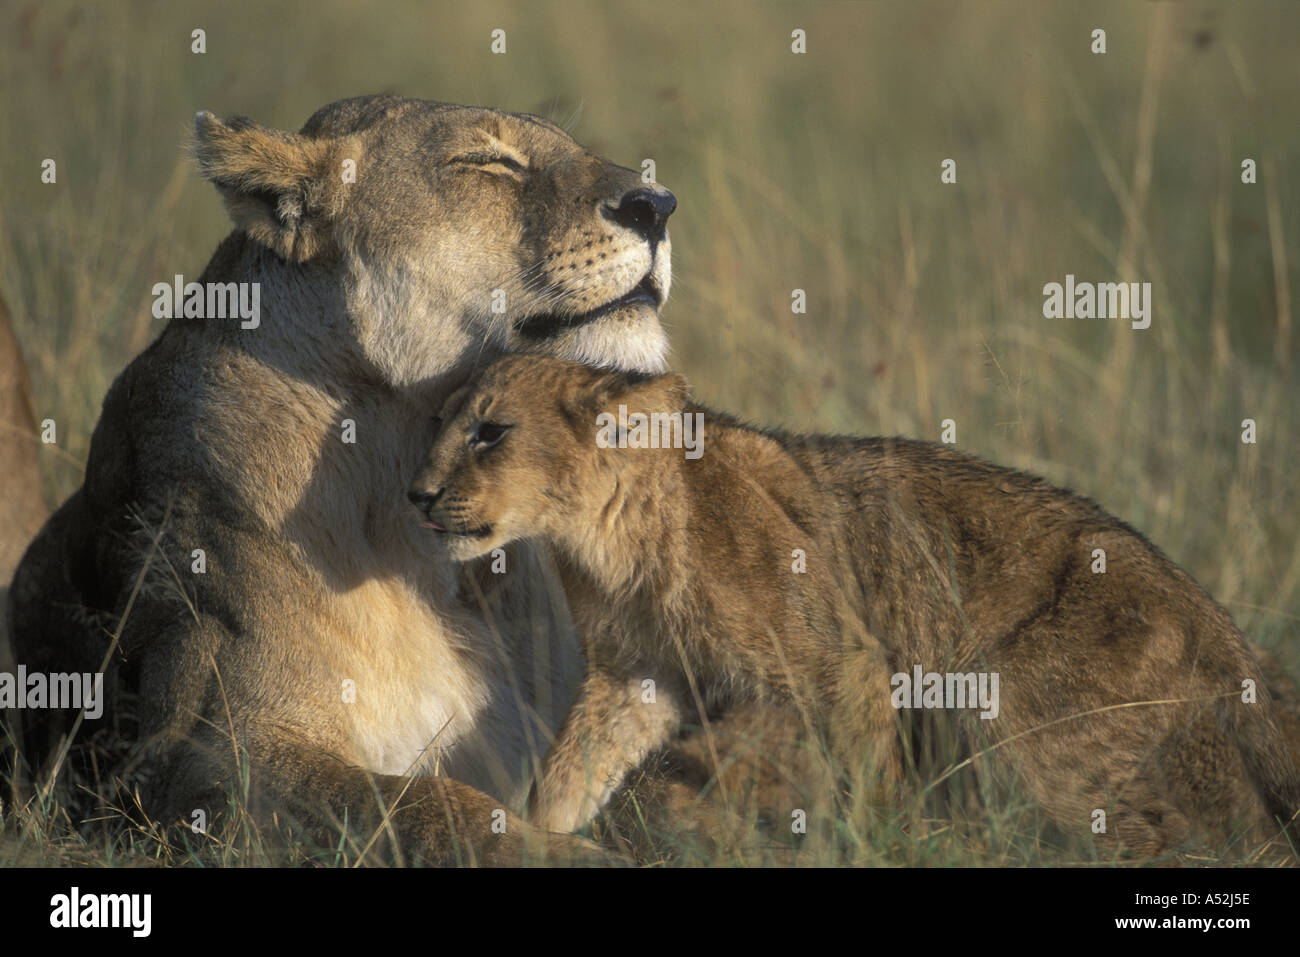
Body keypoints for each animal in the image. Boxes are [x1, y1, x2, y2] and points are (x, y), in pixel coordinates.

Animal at [408, 355, 1300, 858]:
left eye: (490, 432)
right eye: (439, 423)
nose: (416, 495)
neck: (608, 537)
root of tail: (1215, 618)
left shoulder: (845, 662)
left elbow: (866, 778)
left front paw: (889, 843)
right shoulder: (638, 677)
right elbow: (570, 776)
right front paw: (544, 833)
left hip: (1020, 718)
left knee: (1191, 835)